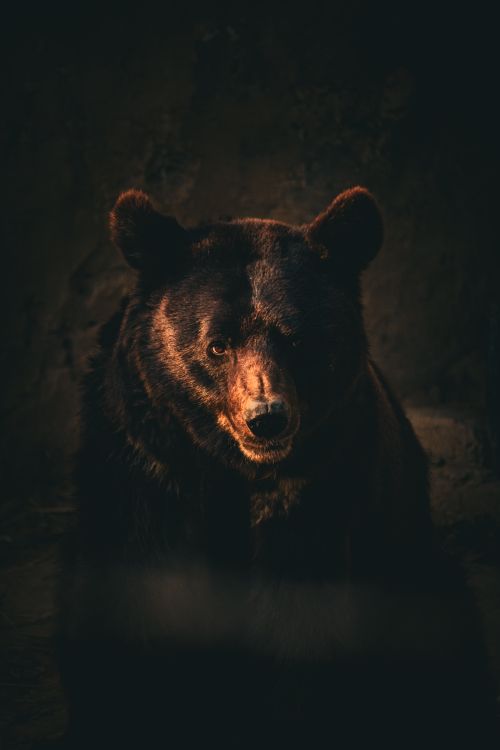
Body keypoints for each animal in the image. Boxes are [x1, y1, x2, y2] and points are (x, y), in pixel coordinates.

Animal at [59, 187, 498, 748]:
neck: (226, 463)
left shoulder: (323, 474)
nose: (266, 417)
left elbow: (298, 615)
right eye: (217, 344)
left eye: (296, 339)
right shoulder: (145, 464)